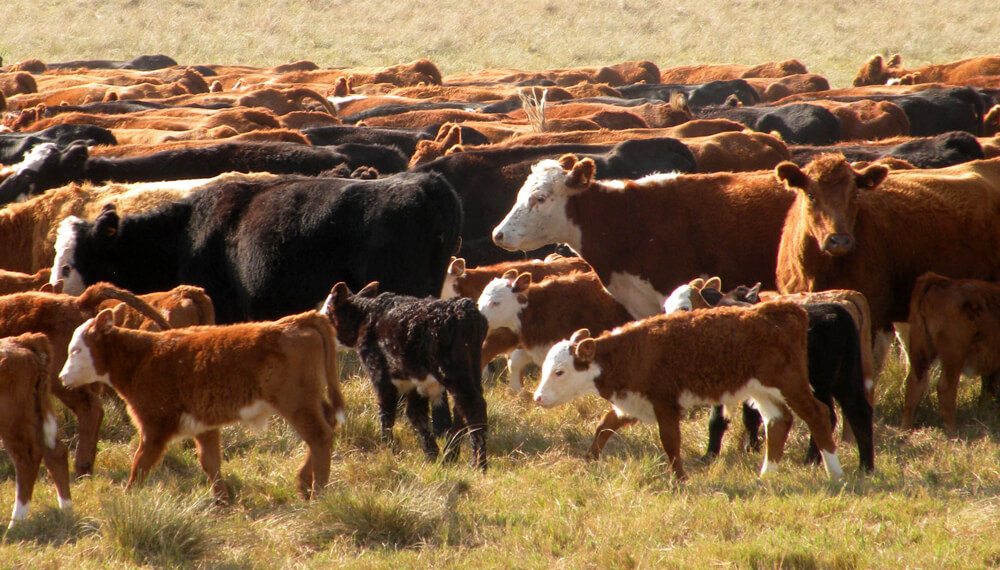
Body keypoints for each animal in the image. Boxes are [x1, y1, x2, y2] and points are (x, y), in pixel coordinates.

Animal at [1, 333, 72, 529]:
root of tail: (24, 340)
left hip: (13, 418)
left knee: (27, 459)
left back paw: (15, 525)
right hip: (33, 415)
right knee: (55, 453)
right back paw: (66, 511)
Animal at [58, 309, 343, 500]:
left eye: (77, 350)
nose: (62, 378)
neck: (142, 357)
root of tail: (295, 320)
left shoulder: (155, 425)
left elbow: (140, 464)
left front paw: (127, 497)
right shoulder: (203, 424)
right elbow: (210, 462)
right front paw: (222, 501)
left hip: (296, 403)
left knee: (320, 437)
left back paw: (318, 494)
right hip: (310, 402)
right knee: (326, 428)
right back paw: (304, 482)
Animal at [321, 282, 489, 470]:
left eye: (327, 316)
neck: (366, 318)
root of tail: (464, 309)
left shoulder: (380, 375)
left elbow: (386, 413)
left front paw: (388, 450)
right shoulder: (416, 381)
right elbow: (416, 414)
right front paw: (432, 455)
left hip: (452, 372)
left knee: (473, 405)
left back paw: (479, 464)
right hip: (472, 368)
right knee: (461, 408)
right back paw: (450, 455)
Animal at [533, 302, 844, 480]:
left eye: (559, 371)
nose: (538, 397)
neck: (632, 352)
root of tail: (784, 310)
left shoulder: (664, 402)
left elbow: (670, 441)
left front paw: (679, 479)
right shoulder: (633, 401)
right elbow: (604, 427)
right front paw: (589, 461)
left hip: (789, 383)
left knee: (818, 414)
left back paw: (835, 473)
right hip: (761, 390)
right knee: (778, 421)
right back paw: (766, 476)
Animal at [901, 273, 1000, 434]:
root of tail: (939, 281)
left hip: (923, 349)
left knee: (914, 384)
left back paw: (905, 428)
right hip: (954, 354)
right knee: (945, 388)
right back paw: (953, 430)